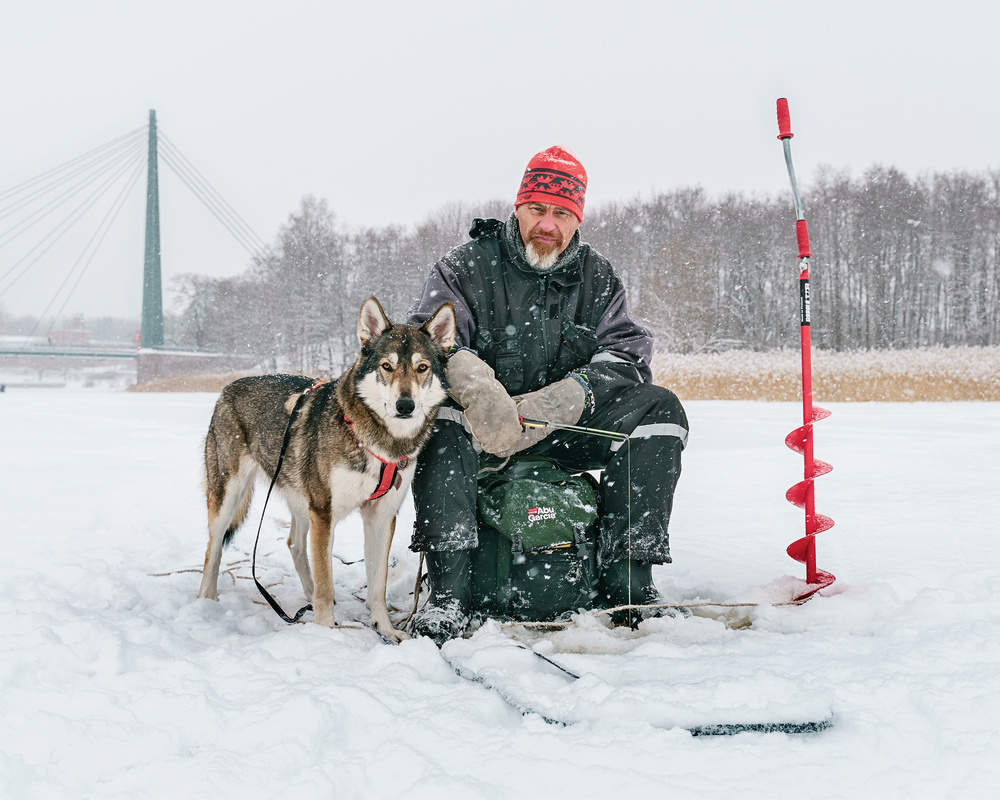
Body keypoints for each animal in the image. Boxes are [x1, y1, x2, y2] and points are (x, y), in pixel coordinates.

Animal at [197, 296, 456, 640]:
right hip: (230, 496)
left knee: (294, 544)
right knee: (213, 549)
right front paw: (326, 634)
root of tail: (229, 387)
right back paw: (207, 600)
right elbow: (325, 581)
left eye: (422, 368)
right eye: (386, 367)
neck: (377, 440)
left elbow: (377, 587)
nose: (405, 406)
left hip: (298, 496)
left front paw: (385, 629)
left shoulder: (381, 516)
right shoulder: (324, 512)